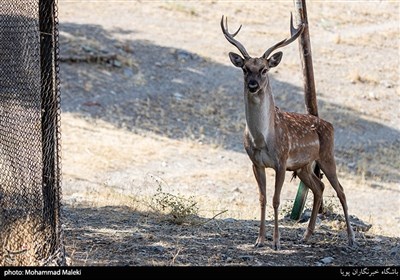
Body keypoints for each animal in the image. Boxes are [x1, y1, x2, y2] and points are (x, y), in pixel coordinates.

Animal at [220, 14, 354, 249]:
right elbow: (262, 198)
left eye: (264, 69)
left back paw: (351, 238)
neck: (262, 138)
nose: (253, 85)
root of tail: (330, 125)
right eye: (245, 69)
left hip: (327, 156)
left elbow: (275, 199)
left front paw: (276, 242)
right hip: (303, 166)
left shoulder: (281, 160)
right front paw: (259, 240)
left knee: (341, 190)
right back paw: (307, 235)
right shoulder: (255, 162)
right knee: (319, 187)